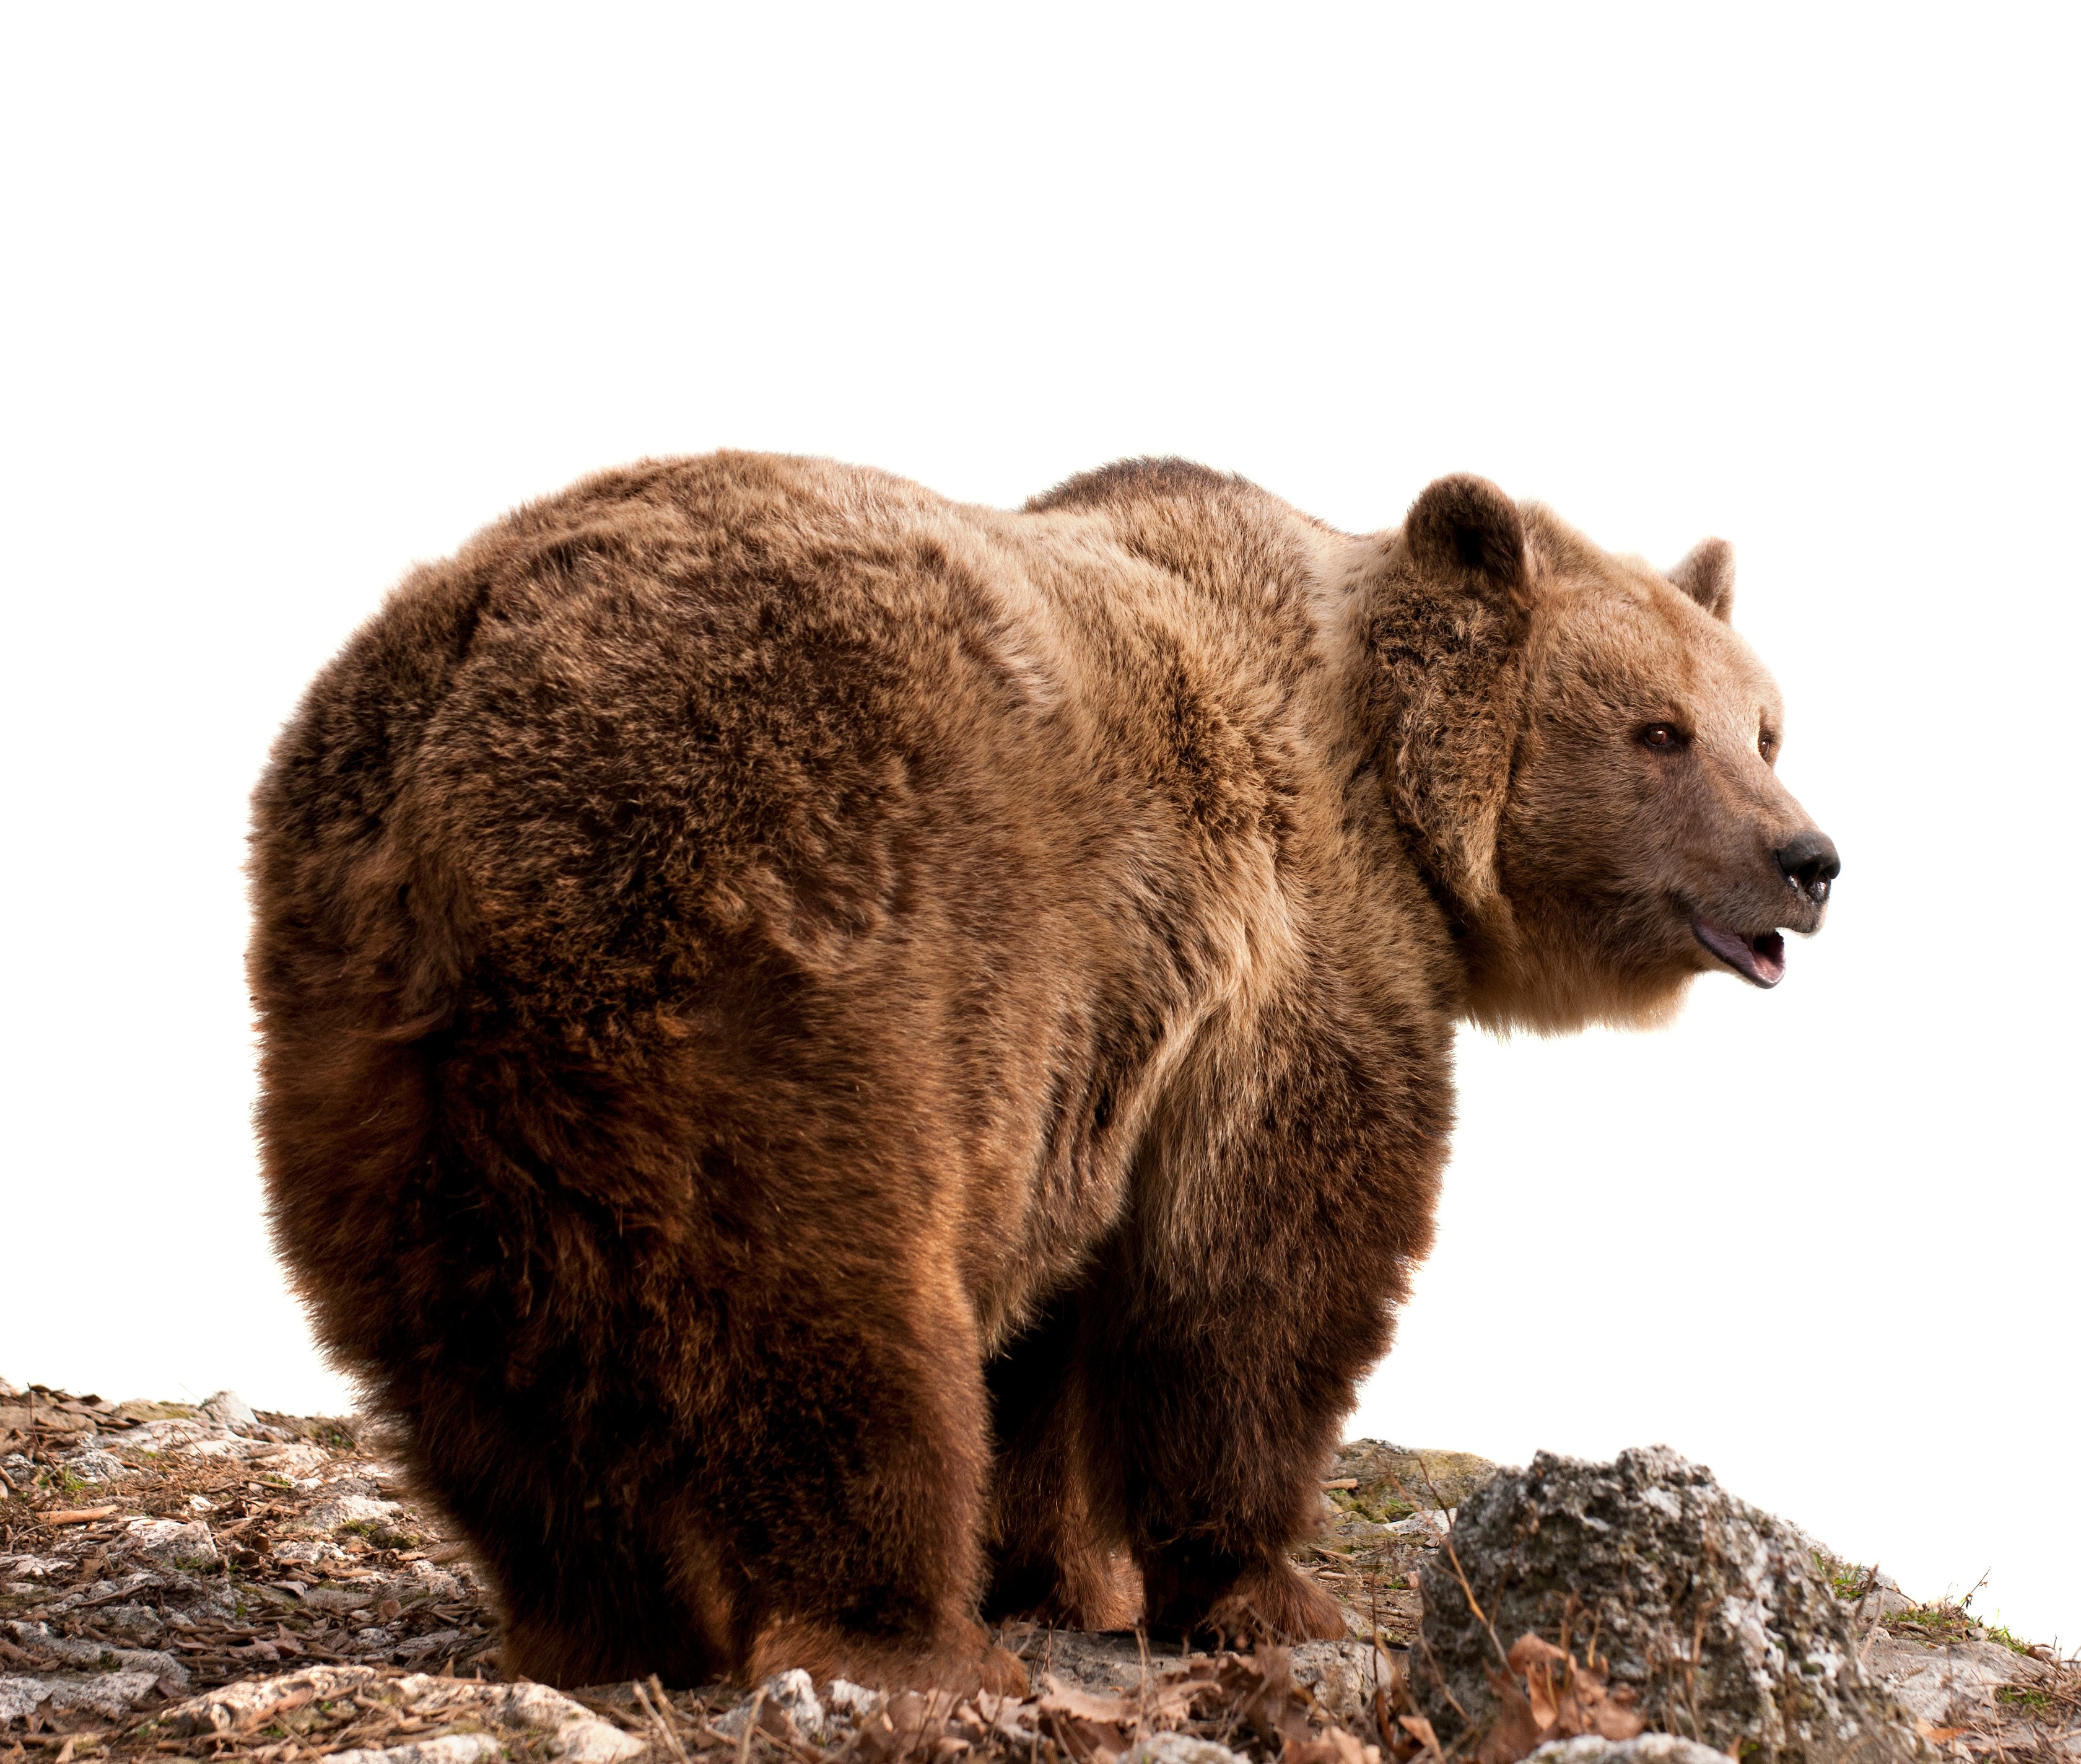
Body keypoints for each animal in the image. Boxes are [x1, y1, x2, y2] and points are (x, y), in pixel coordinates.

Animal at [247, 452, 1838, 1693]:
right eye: (1658, 728)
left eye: (1765, 725)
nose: (1808, 856)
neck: (1395, 791)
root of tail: (463, 733)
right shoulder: (1289, 966)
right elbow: (1258, 1271)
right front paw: (1257, 1584)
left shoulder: (1110, 1052)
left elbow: (1071, 1323)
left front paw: (1066, 1568)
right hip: (789, 941)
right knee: (835, 1310)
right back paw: (899, 1630)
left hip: (391, 1060)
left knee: (487, 1366)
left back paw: (603, 1621)